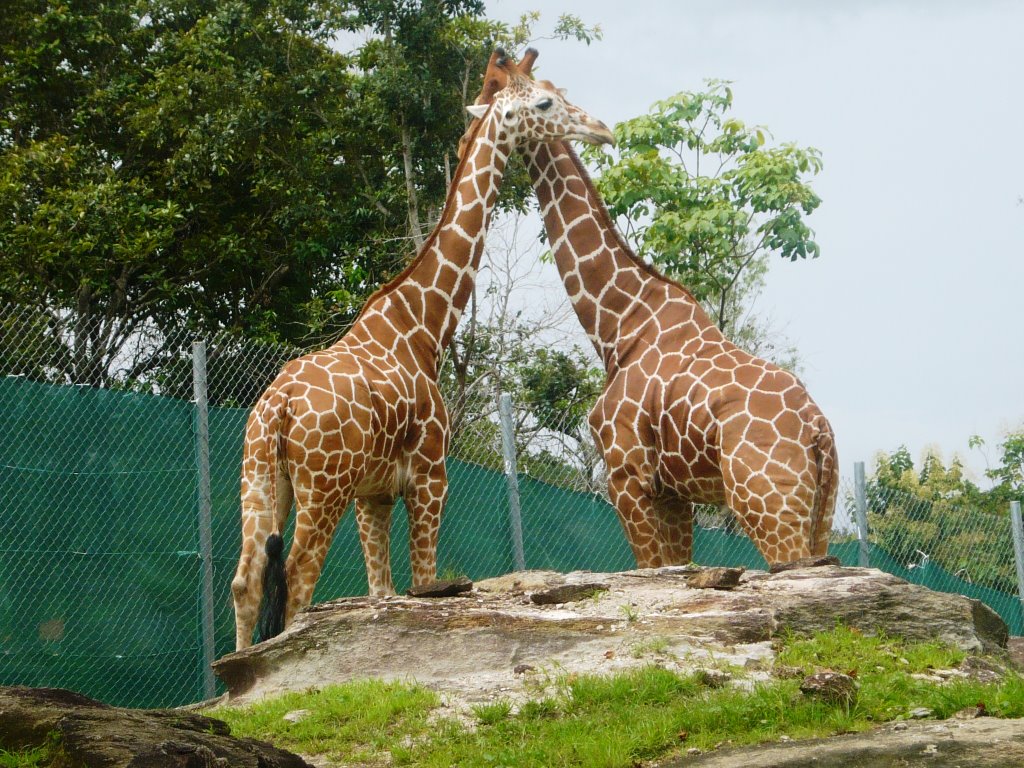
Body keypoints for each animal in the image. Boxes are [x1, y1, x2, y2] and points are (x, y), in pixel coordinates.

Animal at [232, 60, 610, 651]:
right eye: (545, 102)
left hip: (261, 478)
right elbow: (425, 585)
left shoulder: (373, 495)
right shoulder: (431, 475)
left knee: (246, 582)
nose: (601, 130)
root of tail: (280, 407)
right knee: (296, 580)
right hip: (323, 485)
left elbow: (382, 593)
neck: (423, 324)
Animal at [468, 51, 835, 573]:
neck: (618, 324)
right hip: (822, 508)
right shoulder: (674, 492)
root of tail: (819, 431)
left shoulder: (625, 474)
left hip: (767, 502)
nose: (602, 131)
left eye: (544, 99)